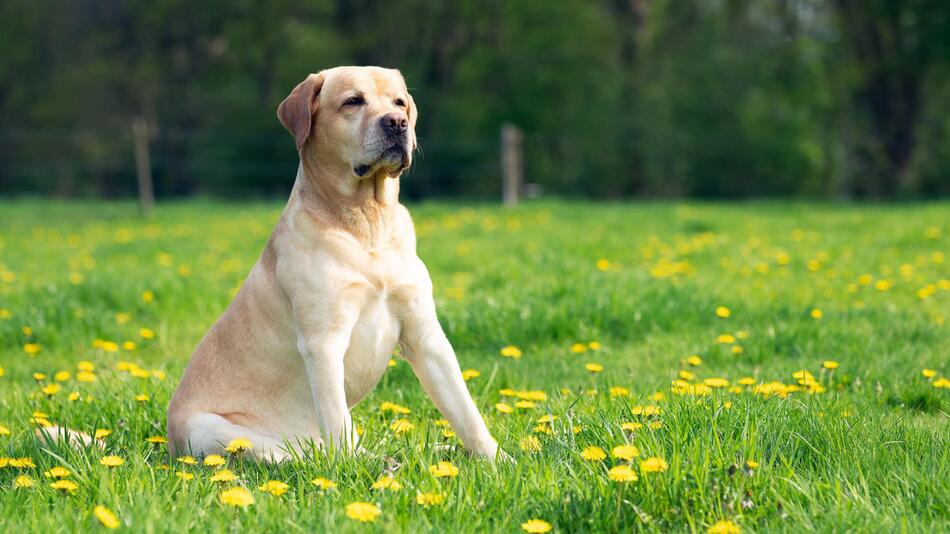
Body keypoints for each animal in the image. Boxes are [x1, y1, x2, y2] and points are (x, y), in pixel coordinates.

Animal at [167, 65, 502, 462]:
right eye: (353, 101)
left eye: (399, 102)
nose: (397, 123)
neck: (367, 223)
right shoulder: (323, 342)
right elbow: (337, 422)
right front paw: (352, 470)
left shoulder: (425, 334)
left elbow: (465, 410)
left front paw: (498, 460)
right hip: (209, 427)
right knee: (296, 455)